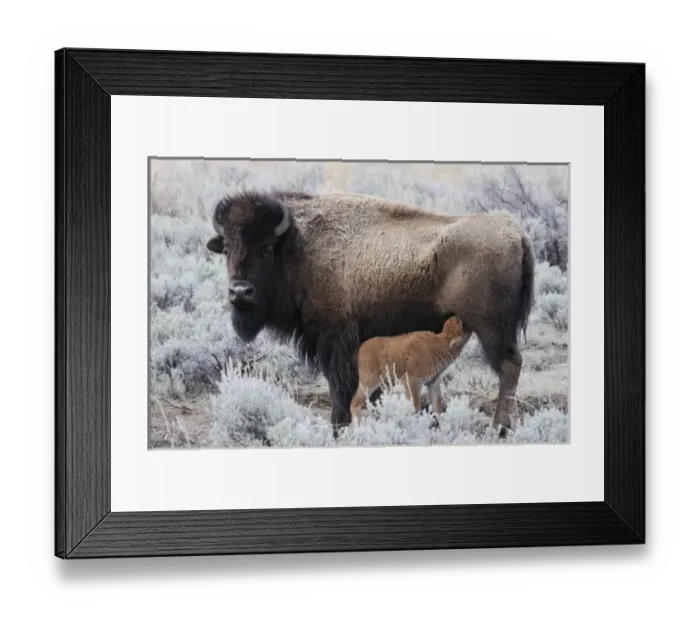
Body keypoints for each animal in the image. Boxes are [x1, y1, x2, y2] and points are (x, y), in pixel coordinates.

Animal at [205, 189, 535, 439]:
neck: (299, 245)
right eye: (228, 248)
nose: (240, 292)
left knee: (509, 367)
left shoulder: (336, 340)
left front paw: (339, 427)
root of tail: (517, 234)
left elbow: (340, 386)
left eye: (266, 247)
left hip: (492, 330)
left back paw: (500, 428)